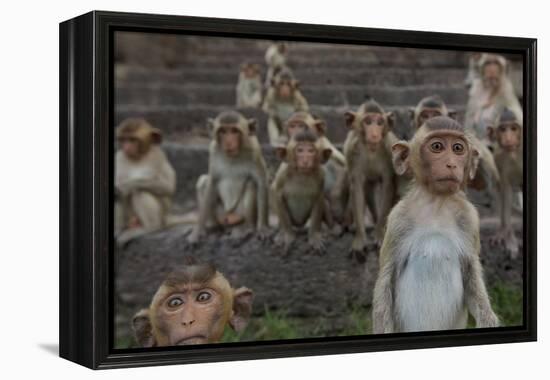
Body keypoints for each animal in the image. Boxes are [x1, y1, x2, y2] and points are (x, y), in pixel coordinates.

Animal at [115, 118, 177, 246]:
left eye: (132, 139)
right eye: (123, 139)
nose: (126, 147)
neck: (137, 157)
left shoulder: (158, 156)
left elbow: (168, 187)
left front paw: (126, 186)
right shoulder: (118, 157)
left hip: (161, 215)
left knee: (141, 190)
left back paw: (149, 228)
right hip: (131, 217)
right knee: (118, 197)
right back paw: (119, 230)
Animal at [191, 110, 270, 243]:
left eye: (234, 131)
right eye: (222, 131)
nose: (228, 142)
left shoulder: (255, 150)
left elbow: (260, 182)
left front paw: (262, 228)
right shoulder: (213, 151)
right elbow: (212, 182)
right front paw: (198, 231)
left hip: (238, 214)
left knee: (251, 183)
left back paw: (247, 228)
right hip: (222, 214)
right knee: (203, 182)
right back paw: (214, 228)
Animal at [376, 116, 500, 332]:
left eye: (458, 148)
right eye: (437, 147)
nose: (451, 164)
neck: (436, 204)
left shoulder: (469, 218)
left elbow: (472, 275)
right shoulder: (398, 219)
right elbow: (386, 279)